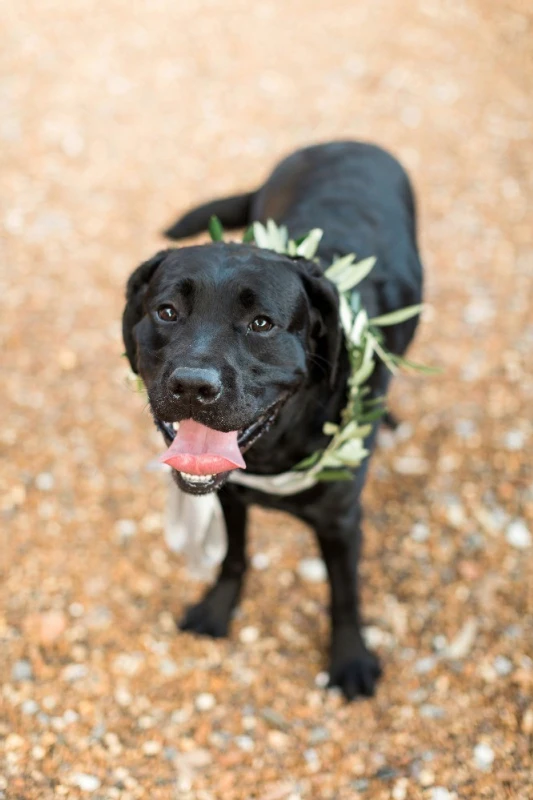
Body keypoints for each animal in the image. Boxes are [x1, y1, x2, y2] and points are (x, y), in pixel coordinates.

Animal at [122, 142, 422, 700]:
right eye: (167, 311)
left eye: (261, 324)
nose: (192, 386)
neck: (274, 450)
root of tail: (346, 140)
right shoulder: (230, 496)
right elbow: (234, 556)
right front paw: (218, 608)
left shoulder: (341, 521)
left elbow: (344, 593)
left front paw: (350, 658)